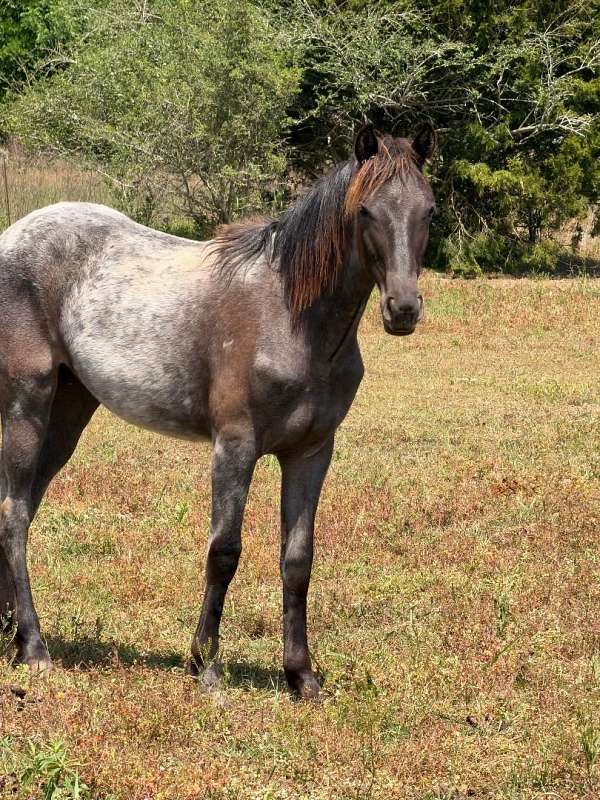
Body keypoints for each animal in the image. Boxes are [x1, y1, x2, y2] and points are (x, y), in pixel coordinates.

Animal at [0, 124, 435, 699]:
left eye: (429, 209)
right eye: (365, 210)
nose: (403, 310)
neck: (291, 319)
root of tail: (12, 237)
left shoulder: (311, 453)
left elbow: (298, 559)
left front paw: (301, 676)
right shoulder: (235, 447)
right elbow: (223, 552)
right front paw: (203, 667)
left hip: (68, 411)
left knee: (18, 506)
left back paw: (9, 634)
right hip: (26, 402)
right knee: (14, 513)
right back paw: (33, 649)